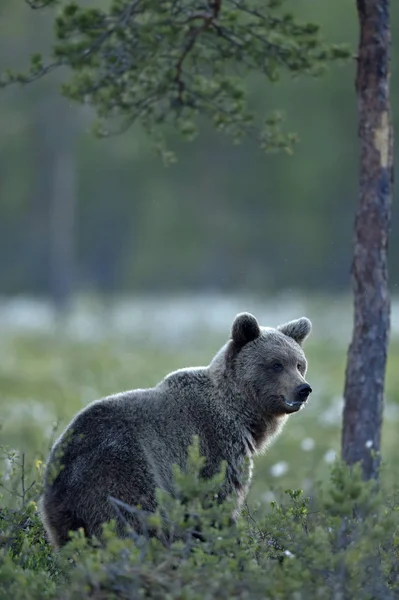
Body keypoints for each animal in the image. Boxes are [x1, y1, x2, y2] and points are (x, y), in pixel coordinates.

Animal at [40, 314, 314, 548]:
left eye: (299, 363)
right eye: (276, 364)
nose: (303, 389)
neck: (241, 412)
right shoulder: (214, 445)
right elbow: (217, 500)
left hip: (64, 513)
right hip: (121, 473)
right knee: (136, 523)